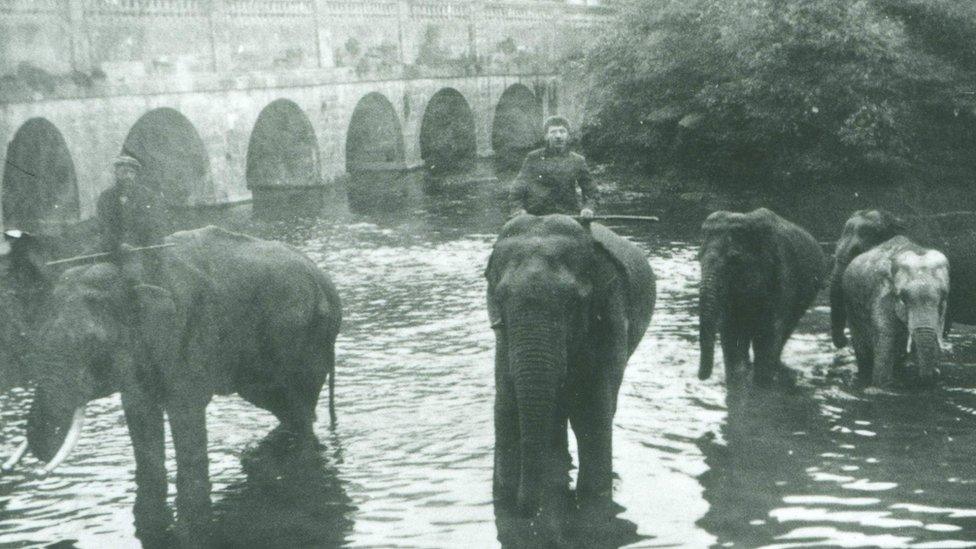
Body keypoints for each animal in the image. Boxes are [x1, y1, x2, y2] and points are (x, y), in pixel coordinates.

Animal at [0, 225, 344, 544]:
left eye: (92, 343)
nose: (37, 470)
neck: (129, 271)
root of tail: (327, 283)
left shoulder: (190, 333)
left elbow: (185, 414)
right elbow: (140, 415)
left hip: (305, 340)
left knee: (297, 408)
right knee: (280, 405)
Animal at [486, 215, 656, 520]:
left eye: (572, 301)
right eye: (500, 297)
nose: (526, 511)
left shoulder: (610, 316)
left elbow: (591, 412)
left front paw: (593, 502)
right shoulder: (502, 337)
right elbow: (506, 405)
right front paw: (503, 496)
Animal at [696, 209, 828, 386]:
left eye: (734, 259)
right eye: (698, 257)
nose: (702, 377)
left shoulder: (782, 277)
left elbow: (768, 337)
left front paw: (761, 384)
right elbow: (731, 335)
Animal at [840, 234, 944, 386]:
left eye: (943, 298)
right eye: (902, 298)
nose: (934, 374)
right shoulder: (881, 294)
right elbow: (886, 334)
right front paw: (884, 384)